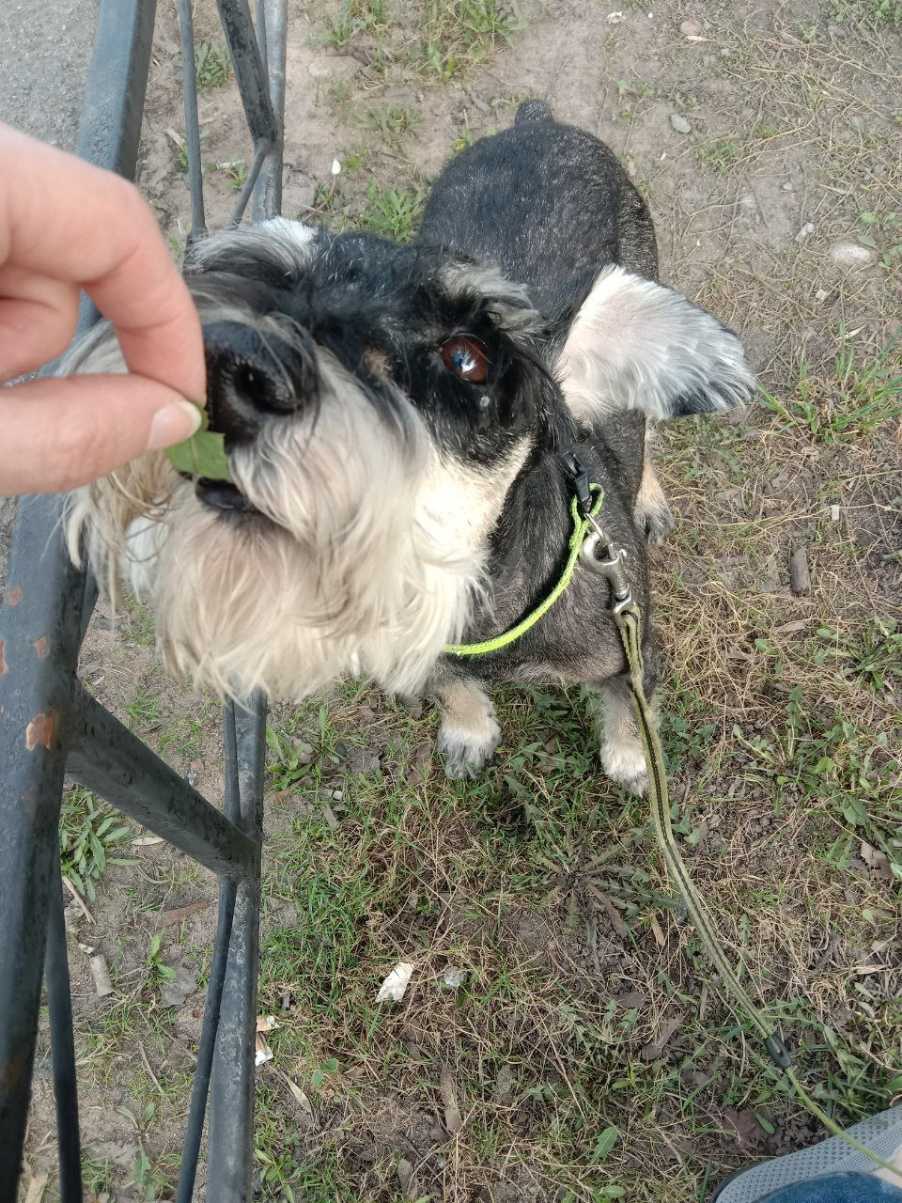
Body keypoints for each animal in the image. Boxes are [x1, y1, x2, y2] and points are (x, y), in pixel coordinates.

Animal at [65, 101, 754, 794]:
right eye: (260, 278)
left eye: (468, 358)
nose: (230, 366)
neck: (476, 609)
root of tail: (538, 121)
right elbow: (450, 688)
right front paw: (468, 733)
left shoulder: (630, 654)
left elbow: (629, 710)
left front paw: (633, 761)